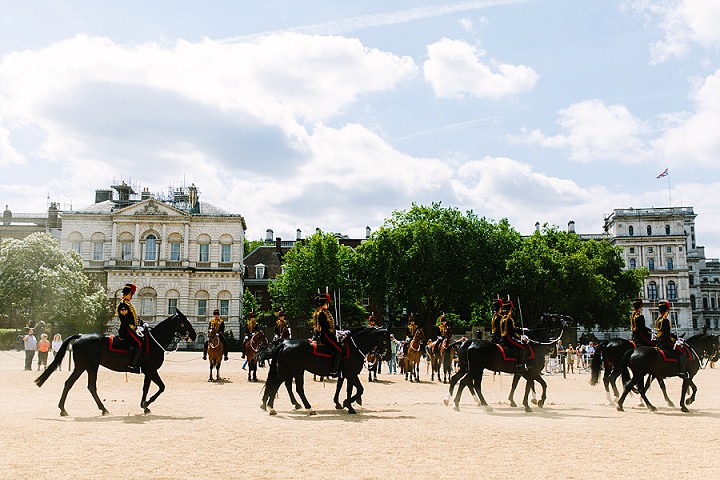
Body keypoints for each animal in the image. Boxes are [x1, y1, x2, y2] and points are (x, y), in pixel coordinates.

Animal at [35, 312, 195, 416]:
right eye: (184, 322)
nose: (193, 335)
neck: (154, 342)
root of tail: (81, 335)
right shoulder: (151, 370)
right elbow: (161, 387)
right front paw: (146, 404)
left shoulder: (148, 371)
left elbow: (146, 388)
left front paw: (144, 406)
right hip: (91, 367)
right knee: (91, 386)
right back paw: (103, 409)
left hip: (81, 367)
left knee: (69, 383)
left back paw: (63, 409)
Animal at [262, 328, 390, 414]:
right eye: (385, 341)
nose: (387, 357)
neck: (354, 347)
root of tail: (284, 344)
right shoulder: (352, 374)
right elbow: (359, 389)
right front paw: (347, 403)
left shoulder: (346, 374)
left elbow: (344, 389)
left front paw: (343, 404)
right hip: (297, 371)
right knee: (297, 388)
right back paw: (308, 407)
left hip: (286, 371)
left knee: (277, 385)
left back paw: (271, 406)